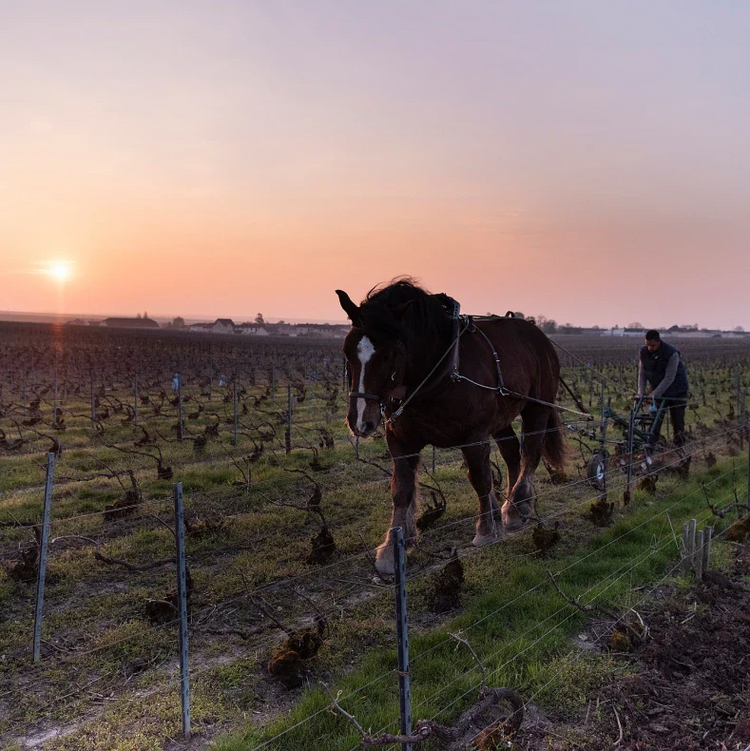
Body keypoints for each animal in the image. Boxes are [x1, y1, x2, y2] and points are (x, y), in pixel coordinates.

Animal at [340, 280, 564, 576]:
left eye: (388, 354)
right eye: (347, 351)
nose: (360, 421)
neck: (437, 371)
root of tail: (538, 335)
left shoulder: (474, 435)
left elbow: (480, 479)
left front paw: (486, 530)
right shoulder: (400, 440)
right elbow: (401, 490)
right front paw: (392, 549)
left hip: (537, 407)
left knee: (531, 453)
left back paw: (518, 505)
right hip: (502, 418)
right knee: (512, 453)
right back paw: (514, 506)